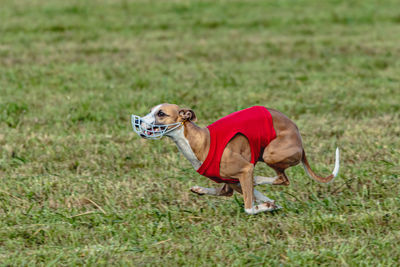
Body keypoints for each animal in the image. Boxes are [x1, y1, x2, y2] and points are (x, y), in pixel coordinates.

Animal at [133, 104, 340, 216]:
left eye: (161, 113)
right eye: (150, 110)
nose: (139, 121)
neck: (200, 140)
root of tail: (300, 139)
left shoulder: (245, 170)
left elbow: (249, 207)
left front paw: (265, 205)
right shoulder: (232, 181)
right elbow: (233, 193)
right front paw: (271, 204)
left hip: (270, 153)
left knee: (283, 179)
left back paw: (260, 179)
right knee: (280, 178)